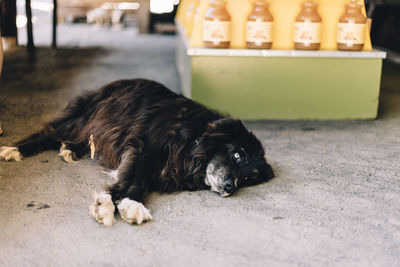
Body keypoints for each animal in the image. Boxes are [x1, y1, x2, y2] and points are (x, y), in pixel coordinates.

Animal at [0, 79, 276, 226]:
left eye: (248, 178)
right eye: (238, 155)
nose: (231, 187)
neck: (193, 141)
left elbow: (136, 182)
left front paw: (122, 203)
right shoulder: (143, 148)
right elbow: (135, 181)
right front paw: (117, 204)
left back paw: (70, 148)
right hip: (85, 115)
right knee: (48, 133)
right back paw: (15, 149)